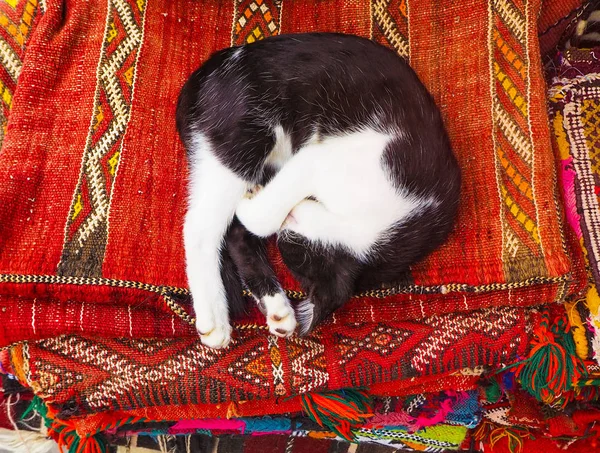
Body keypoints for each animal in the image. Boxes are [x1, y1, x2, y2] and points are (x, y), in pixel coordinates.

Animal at [176, 32, 462, 350]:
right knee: (201, 225)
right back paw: (214, 318)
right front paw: (251, 203)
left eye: (289, 239)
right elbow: (261, 217)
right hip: (240, 136)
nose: (289, 219)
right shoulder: (324, 158)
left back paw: (276, 308)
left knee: (236, 233)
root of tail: (211, 67)